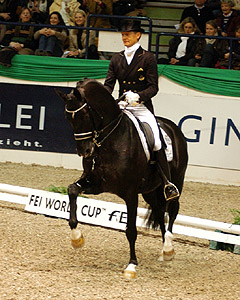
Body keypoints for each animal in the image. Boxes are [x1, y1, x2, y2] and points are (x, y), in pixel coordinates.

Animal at [57, 78, 188, 278]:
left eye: (84, 116)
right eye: (67, 118)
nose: (84, 151)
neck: (111, 140)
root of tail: (173, 128)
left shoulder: (130, 193)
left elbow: (131, 230)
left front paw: (131, 265)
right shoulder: (96, 184)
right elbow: (72, 190)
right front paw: (77, 239)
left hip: (176, 181)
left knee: (172, 209)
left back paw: (167, 248)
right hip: (150, 190)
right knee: (159, 212)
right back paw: (165, 251)